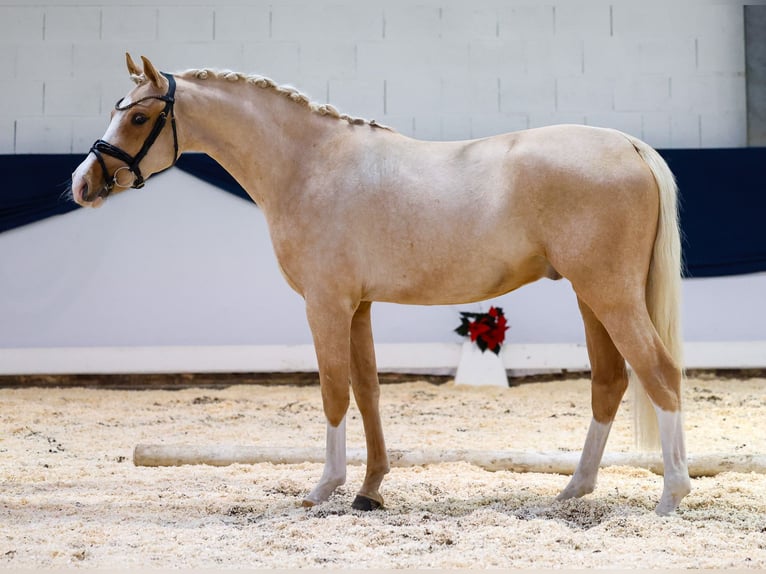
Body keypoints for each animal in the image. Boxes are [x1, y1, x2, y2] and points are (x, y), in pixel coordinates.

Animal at [72, 56, 692, 516]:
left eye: (137, 118)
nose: (83, 184)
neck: (310, 165)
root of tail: (628, 145)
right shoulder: (359, 305)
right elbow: (368, 390)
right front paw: (370, 491)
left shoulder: (326, 304)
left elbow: (333, 391)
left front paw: (324, 488)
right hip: (592, 296)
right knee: (610, 381)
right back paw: (574, 490)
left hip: (610, 294)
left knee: (659, 372)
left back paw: (671, 495)